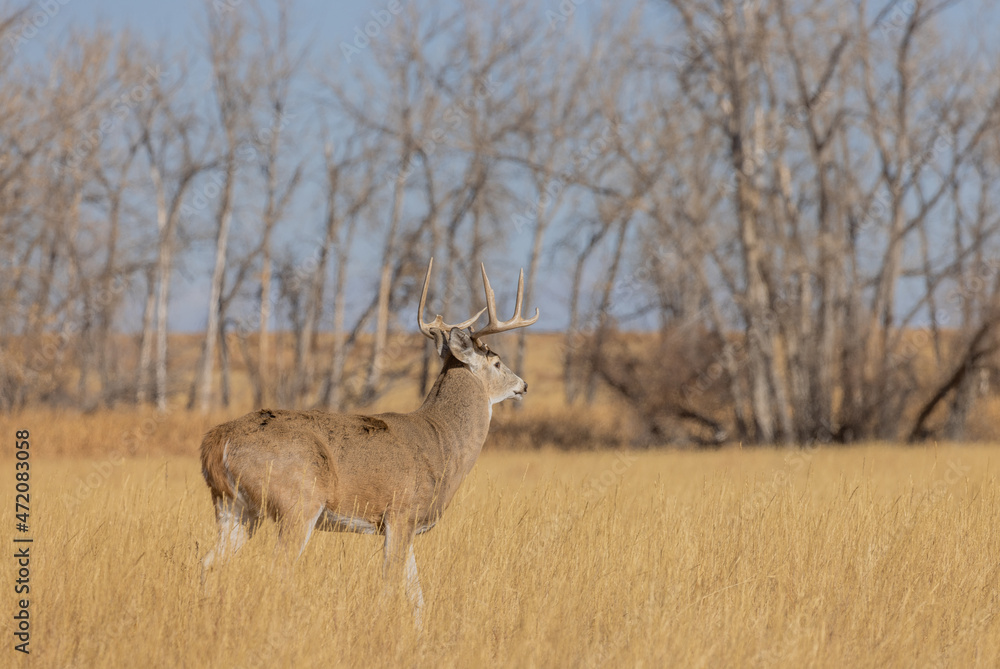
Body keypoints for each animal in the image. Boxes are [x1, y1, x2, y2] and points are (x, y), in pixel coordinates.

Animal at [199, 258, 538, 625]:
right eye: (497, 362)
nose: (524, 385)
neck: (442, 440)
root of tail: (218, 440)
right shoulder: (400, 513)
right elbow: (390, 587)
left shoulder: (405, 525)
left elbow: (417, 596)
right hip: (297, 503)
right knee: (278, 570)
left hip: (233, 507)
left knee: (210, 562)